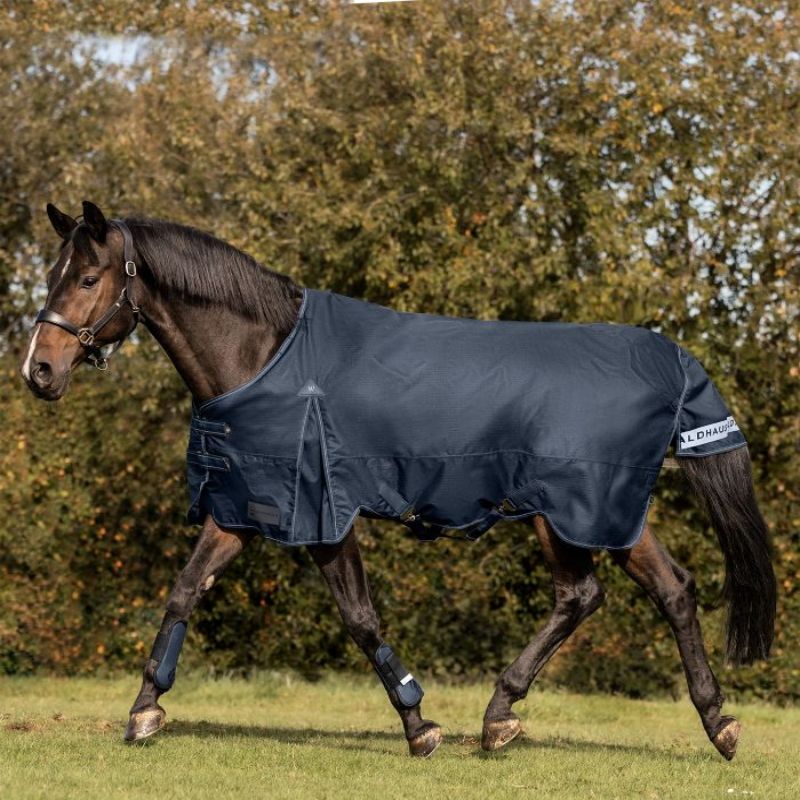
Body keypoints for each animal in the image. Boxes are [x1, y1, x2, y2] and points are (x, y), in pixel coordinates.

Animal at [21, 200, 776, 760]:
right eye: (54, 271)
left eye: (86, 279)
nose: (39, 370)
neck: (268, 358)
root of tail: (669, 362)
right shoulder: (243, 509)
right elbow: (184, 591)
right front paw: (144, 711)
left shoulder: (323, 515)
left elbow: (359, 616)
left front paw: (419, 726)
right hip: (590, 514)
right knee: (644, 592)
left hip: (574, 510)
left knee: (606, 594)